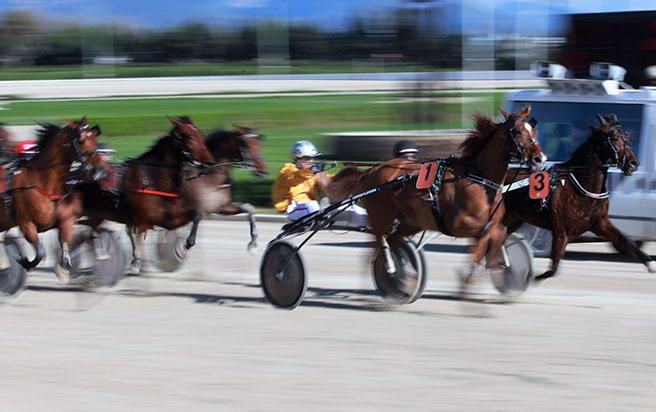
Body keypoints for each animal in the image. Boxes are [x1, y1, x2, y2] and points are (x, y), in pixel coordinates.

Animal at [0, 117, 104, 274]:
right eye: (81, 140)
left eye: (94, 138)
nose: (99, 169)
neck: (43, 183)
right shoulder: (26, 224)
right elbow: (40, 252)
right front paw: (24, 260)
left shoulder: (65, 221)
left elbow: (66, 254)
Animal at [326, 104, 544, 288]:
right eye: (518, 131)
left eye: (533, 131)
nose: (539, 158)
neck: (479, 178)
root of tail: (372, 170)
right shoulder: (459, 225)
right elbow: (491, 232)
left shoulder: (490, 222)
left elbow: (497, 233)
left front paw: (504, 266)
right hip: (382, 215)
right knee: (378, 242)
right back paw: (390, 269)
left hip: (412, 220)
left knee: (392, 239)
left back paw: (404, 275)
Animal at [502, 112, 652, 280]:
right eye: (613, 137)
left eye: (626, 136)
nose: (634, 163)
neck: (582, 185)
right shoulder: (562, 232)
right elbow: (552, 270)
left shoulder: (600, 223)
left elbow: (626, 241)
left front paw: (650, 263)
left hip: (512, 219)